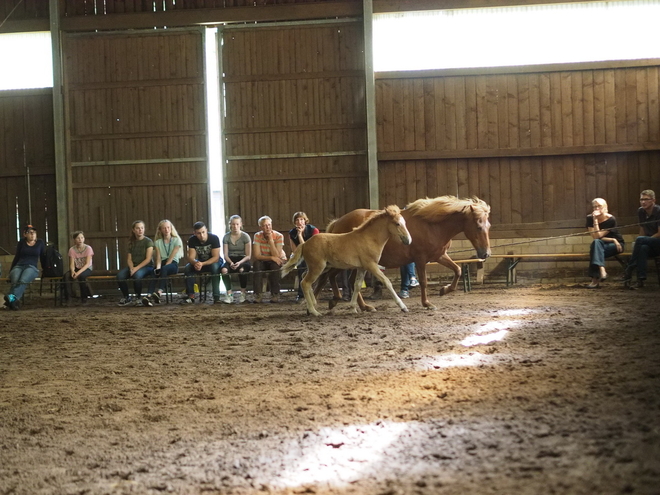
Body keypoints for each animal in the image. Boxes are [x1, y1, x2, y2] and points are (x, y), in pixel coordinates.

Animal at [318, 197, 492, 310]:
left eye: (488, 226)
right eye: (478, 227)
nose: (486, 254)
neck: (432, 225)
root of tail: (338, 222)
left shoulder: (439, 256)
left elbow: (458, 270)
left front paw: (444, 290)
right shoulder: (420, 259)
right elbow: (423, 281)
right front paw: (427, 303)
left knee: (347, 280)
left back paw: (361, 306)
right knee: (335, 277)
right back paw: (341, 301)